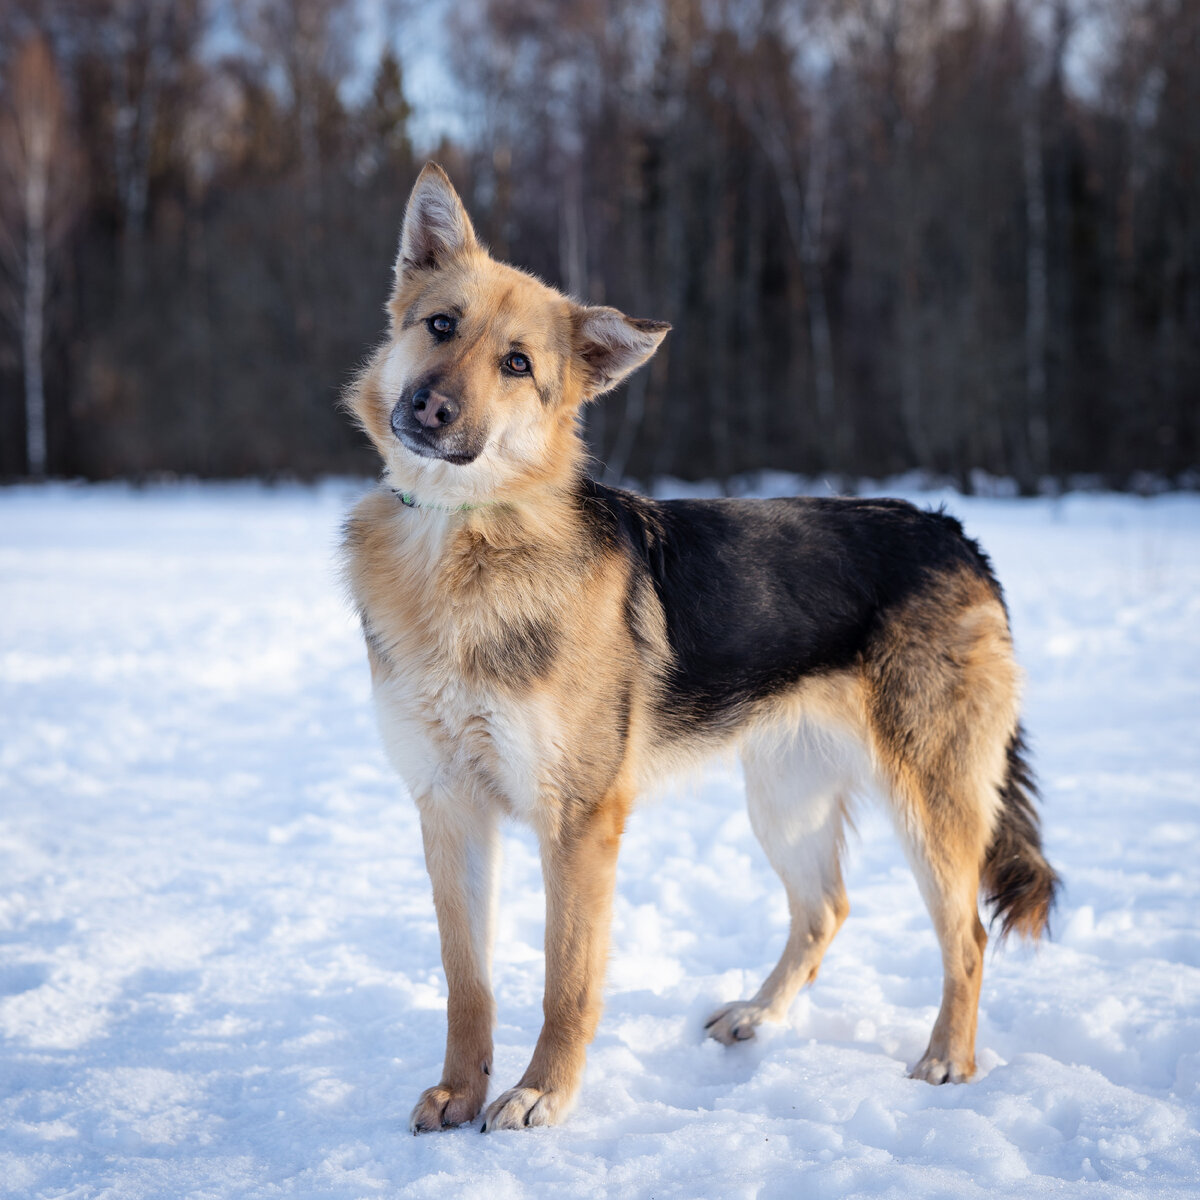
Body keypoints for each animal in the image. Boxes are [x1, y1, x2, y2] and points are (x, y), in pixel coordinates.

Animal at [340, 164, 1060, 1128]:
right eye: (441, 325)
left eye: (518, 364)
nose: (430, 405)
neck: (462, 540)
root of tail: (955, 531)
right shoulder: (448, 808)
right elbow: (468, 984)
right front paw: (461, 1091)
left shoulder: (578, 823)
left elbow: (564, 983)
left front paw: (540, 1095)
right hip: (784, 798)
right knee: (825, 909)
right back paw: (758, 1015)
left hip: (928, 801)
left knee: (967, 934)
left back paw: (948, 1059)